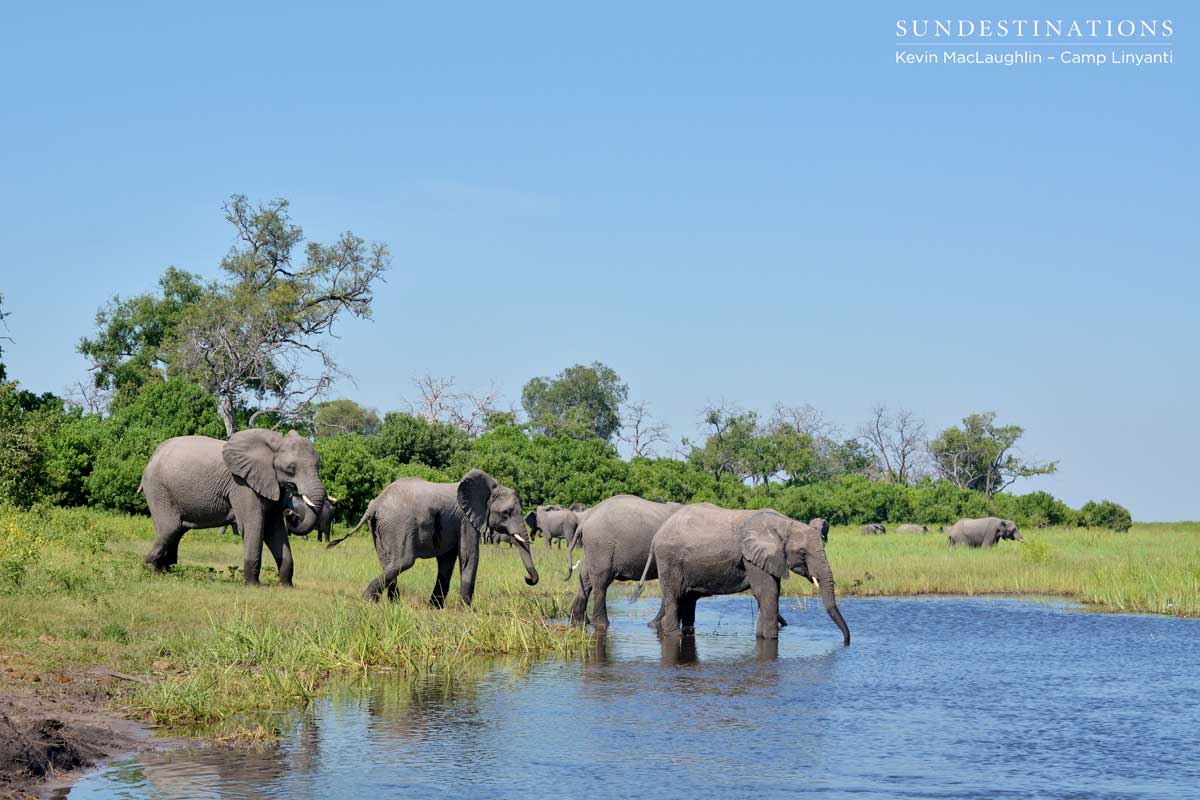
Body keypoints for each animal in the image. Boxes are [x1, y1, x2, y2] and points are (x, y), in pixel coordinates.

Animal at [139, 431, 328, 587]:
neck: (274, 445)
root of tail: (152, 457)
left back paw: (167, 571)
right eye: (291, 468)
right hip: (158, 489)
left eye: (319, 466)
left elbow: (275, 530)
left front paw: (286, 586)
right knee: (170, 528)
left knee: (177, 531)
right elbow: (254, 525)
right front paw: (253, 586)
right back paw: (151, 569)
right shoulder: (242, 485)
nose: (290, 512)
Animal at [326, 465, 537, 604]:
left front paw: (435, 607)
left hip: (380, 528)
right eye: (507, 513)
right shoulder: (466, 521)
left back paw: (392, 604)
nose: (528, 580)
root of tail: (376, 503)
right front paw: (467, 610)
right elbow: (469, 556)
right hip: (400, 524)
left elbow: (446, 562)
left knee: (388, 562)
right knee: (403, 561)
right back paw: (368, 600)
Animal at [564, 494, 681, 633]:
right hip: (602, 546)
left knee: (585, 578)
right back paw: (601, 625)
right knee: (601, 583)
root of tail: (584, 521)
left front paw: (656, 625)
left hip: (593, 549)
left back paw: (578, 621)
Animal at [633, 506, 849, 642]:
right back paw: (674, 636)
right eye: (803, 553)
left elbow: (768, 594)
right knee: (675, 596)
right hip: (670, 560)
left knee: (687, 599)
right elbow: (767, 593)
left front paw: (760, 637)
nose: (846, 642)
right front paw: (770, 639)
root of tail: (656, 536)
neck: (784, 524)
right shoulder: (751, 556)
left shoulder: (769, 558)